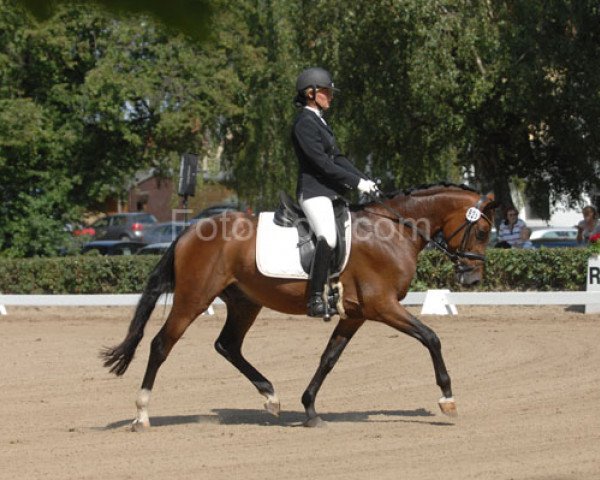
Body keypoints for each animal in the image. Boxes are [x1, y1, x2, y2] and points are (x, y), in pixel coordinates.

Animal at [104, 183, 496, 428]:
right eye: (481, 232)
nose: (472, 279)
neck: (393, 230)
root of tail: (190, 229)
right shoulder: (382, 306)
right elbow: (431, 337)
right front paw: (447, 397)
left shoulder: (357, 314)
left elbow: (329, 357)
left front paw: (309, 407)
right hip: (193, 299)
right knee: (161, 344)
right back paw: (141, 414)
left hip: (245, 302)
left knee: (227, 345)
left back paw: (271, 396)